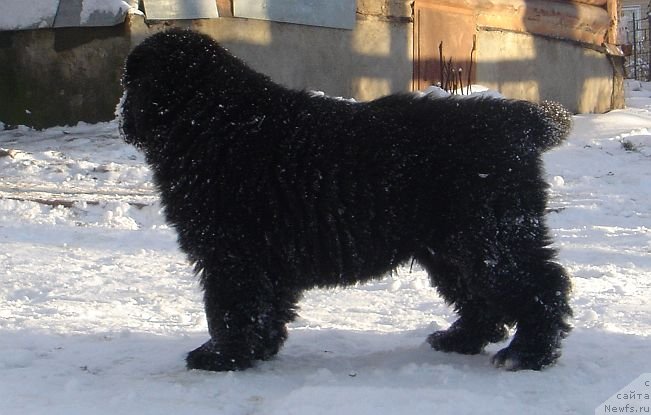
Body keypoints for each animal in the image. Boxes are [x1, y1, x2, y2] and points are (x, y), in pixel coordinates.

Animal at [119, 29, 572, 374]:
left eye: (129, 81)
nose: (121, 115)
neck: (214, 119)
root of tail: (518, 121)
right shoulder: (259, 257)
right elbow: (264, 307)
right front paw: (257, 350)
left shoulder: (231, 253)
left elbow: (231, 306)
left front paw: (221, 356)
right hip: (451, 246)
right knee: (480, 295)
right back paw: (459, 338)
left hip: (488, 235)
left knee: (541, 286)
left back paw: (526, 354)